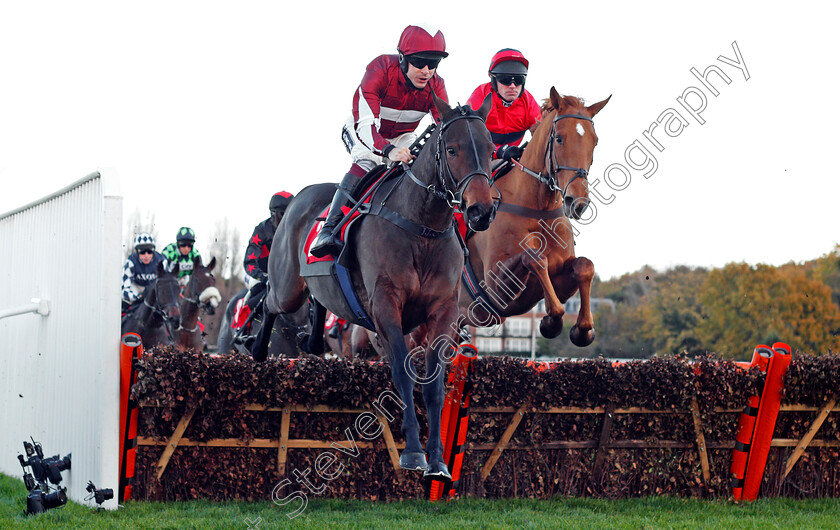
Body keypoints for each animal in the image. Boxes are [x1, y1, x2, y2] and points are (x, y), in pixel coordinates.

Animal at [253, 95, 496, 478]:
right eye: (452, 149)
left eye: (490, 148)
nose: (480, 212)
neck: (421, 226)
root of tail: (299, 197)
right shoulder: (385, 307)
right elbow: (403, 375)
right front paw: (413, 454)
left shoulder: (443, 311)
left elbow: (434, 385)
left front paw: (437, 461)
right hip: (288, 287)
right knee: (269, 303)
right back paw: (258, 348)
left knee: (317, 304)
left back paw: (312, 341)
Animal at [460, 88, 612, 344]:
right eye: (559, 138)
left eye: (595, 140)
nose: (578, 202)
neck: (539, 210)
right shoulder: (497, 290)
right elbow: (535, 258)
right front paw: (551, 322)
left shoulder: (561, 281)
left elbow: (584, 266)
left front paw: (583, 330)